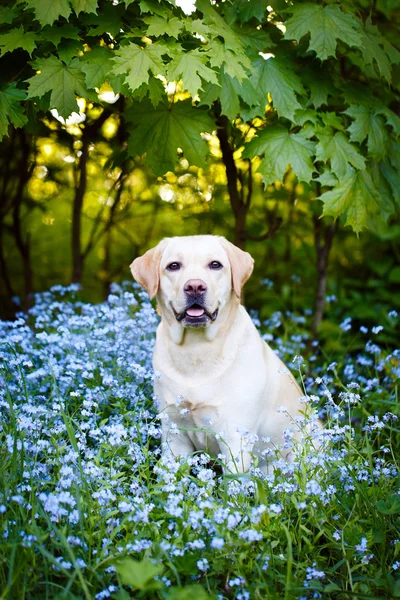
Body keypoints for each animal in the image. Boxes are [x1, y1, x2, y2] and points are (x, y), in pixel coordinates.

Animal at [130, 234, 314, 474]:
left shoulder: (235, 438)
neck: (197, 349)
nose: (195, 286)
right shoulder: (174, 434)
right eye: (174, 266)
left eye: (215, 265)